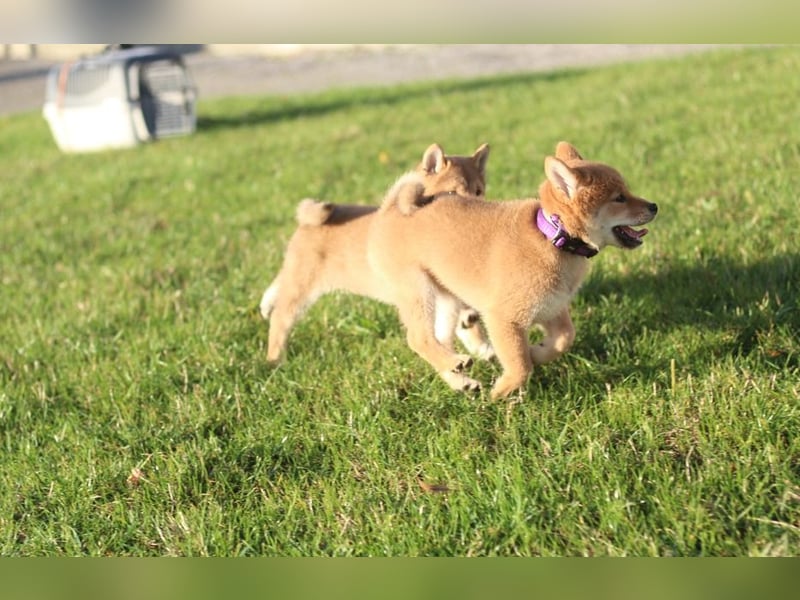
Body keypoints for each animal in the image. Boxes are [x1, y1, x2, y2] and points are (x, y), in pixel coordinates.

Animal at [260, 143, 490, 364]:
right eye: (451, 193)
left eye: (478, 192)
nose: (475, 211)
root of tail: (307, 222)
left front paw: (480, 347)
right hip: (301, 288)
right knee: (280, 319)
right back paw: (275, 360)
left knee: (277, 287)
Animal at [368, 142, 656, 398]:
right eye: (619, 198)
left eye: (626, 191)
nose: (654, 206)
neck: (552, 238)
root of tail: (391, 211)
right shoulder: (504, 318)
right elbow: (520, 365)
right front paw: (501, 391)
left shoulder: (551, 307)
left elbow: (564, 339)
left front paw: (537, 352)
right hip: (418, 291)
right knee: (418, 338)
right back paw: (455, 366)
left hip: (447, 299)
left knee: (439, 338)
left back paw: (460, 379)